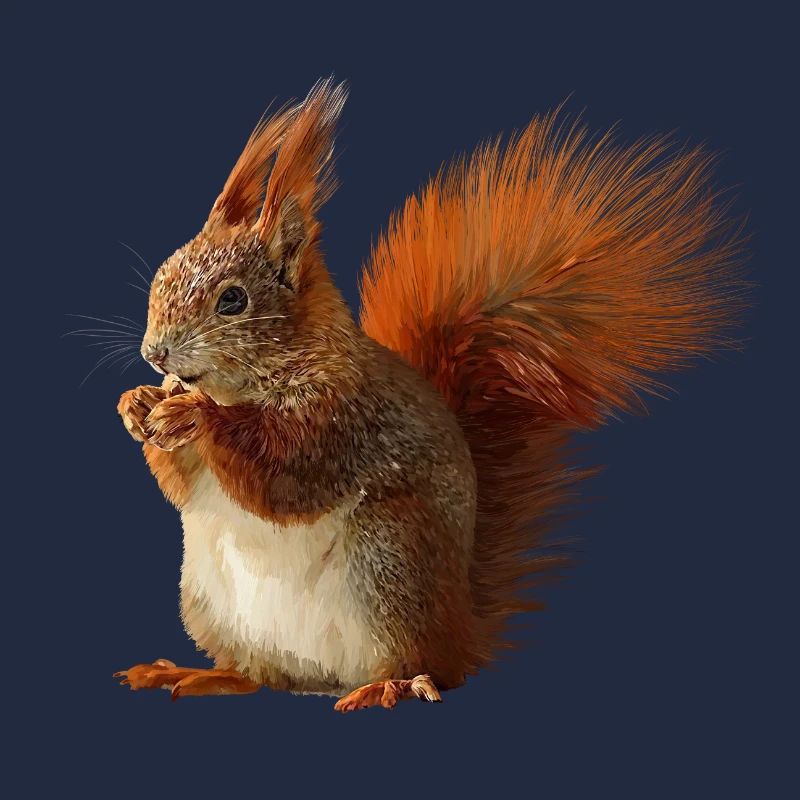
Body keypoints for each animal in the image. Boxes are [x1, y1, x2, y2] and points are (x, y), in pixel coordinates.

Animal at [114, 78, 745, 711]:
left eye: (233, 300)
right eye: (164, 272)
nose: (155, 353)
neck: (245, 384)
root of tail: (462, 628)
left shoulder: (342, 420)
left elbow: (281, 474)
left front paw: (194, 414)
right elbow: (182, 485)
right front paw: (137, 405)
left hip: (390, 560)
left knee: (426, 667)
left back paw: (391, 685)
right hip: (210, 600)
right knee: (263, 675)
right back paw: (202, 674)